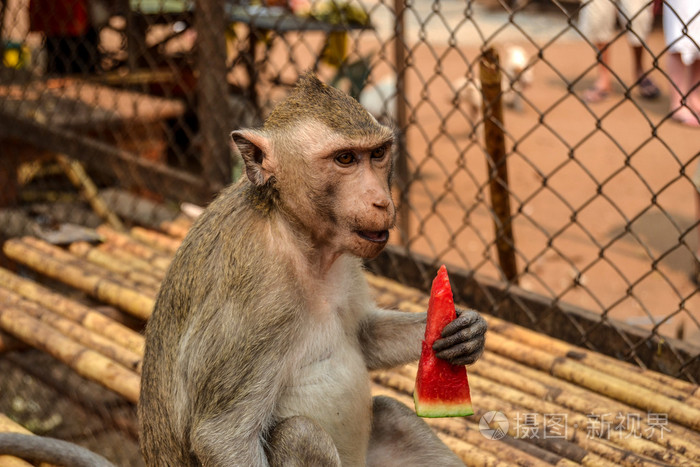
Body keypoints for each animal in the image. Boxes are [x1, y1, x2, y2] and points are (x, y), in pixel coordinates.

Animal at [137, 71, 486, 466]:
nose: (381, 201)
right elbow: (222, 436)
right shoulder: (258, 294)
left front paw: (466, 329)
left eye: (378, 154)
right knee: (299, 433)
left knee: (393, 416)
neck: (295, 231)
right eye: (345, 159)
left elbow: (365, 335)